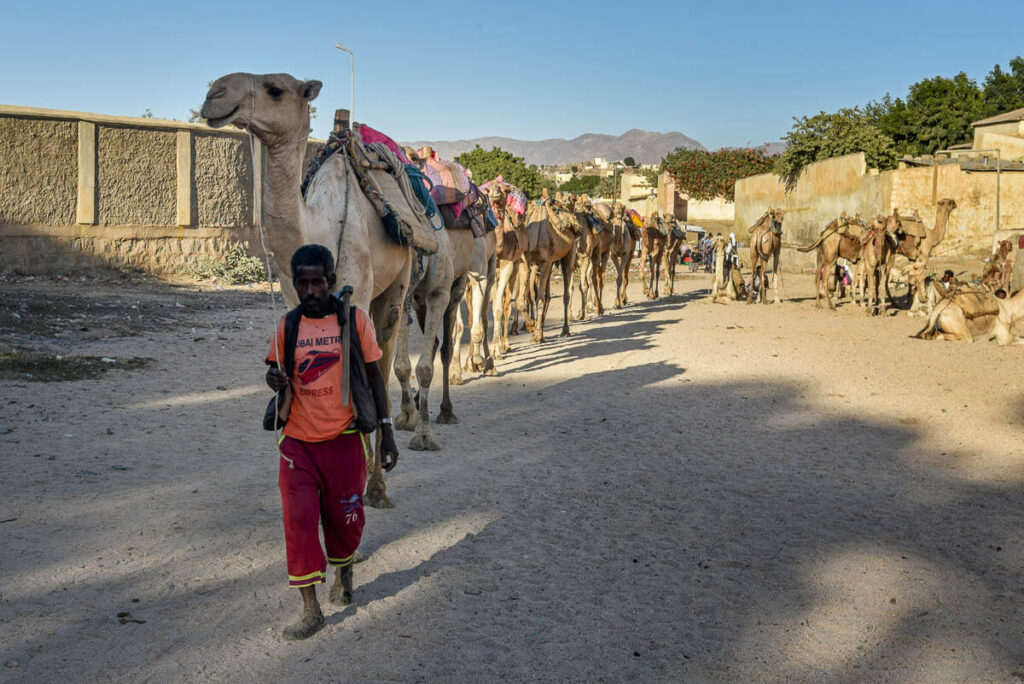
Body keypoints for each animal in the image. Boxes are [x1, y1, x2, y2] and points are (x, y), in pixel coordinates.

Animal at [197, 74, 409, 509]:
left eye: (275, 89)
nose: (214, 93)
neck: (321, 228)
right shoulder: (294, 302)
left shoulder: (358, 299)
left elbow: (362, 382)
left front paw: (364, 488)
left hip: (403, 276)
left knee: (386, 354)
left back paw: (380, 482)